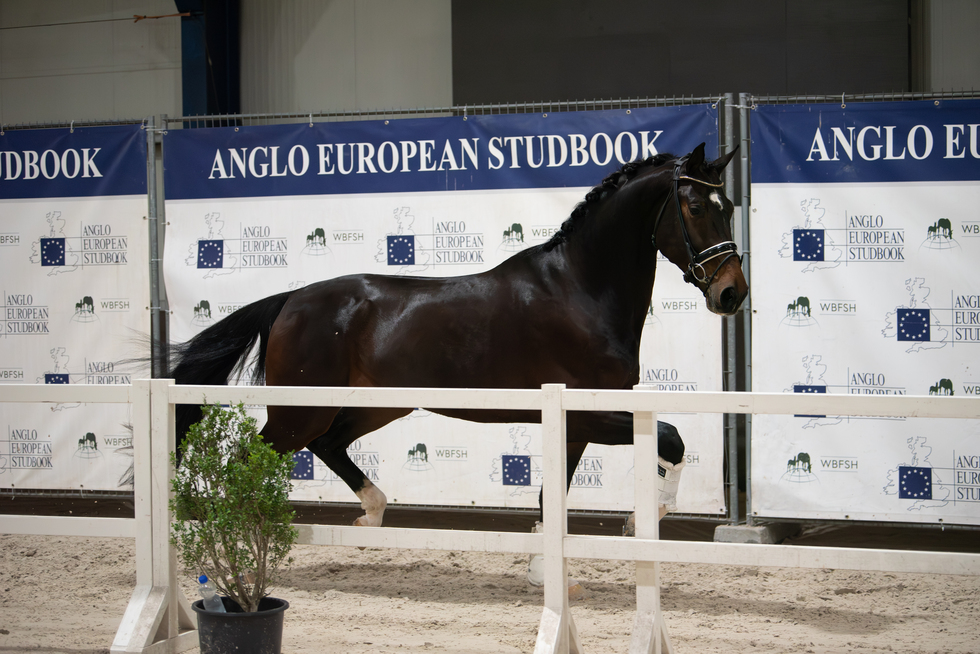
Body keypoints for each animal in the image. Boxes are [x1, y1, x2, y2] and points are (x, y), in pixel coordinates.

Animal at [167, 142, 748, 529]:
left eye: (730, 208)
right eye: (696, 207)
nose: (732, 293)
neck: (580, 289)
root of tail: (291, 299)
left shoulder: (578, 420)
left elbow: (552, 499)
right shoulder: (589, 412)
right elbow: (671, 437)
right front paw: (648, 516)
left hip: (373, 405)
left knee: (329, 445)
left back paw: (372, 515)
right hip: (298, 411)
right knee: (248, 461)